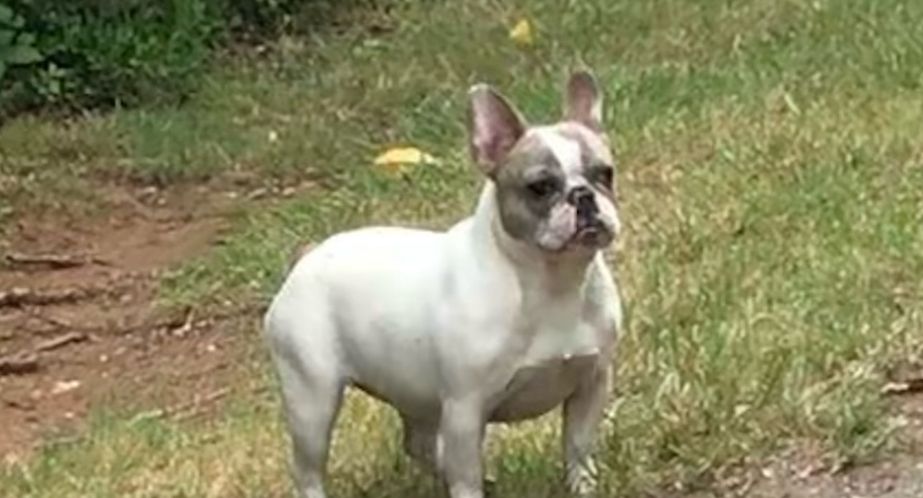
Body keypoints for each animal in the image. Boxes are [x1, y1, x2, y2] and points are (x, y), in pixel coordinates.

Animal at [265, 70, 623, 498]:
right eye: (540, 187)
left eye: (605, 174)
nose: (583, 195)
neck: (551, 281)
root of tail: (305, 259)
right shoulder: (465, 411)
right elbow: (466, 479)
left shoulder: (591, 384)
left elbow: (578, 448)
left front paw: (583, 486)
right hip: (312, 400)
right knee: (309, 471)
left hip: (411, 392)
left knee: (417, 443)